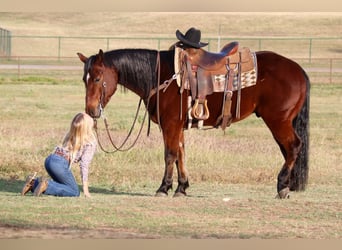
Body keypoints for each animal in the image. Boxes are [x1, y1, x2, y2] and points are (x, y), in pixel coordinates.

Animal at [77, 45, 310, 198]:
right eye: (84, 79)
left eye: (97, 78)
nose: (90, 110)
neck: (161, 76)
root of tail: (298, 70)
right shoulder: (178, 126)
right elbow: (181, 154)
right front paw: (182, 187)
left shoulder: (170, 124)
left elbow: (170, 154)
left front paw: (164, 188)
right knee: (288, 150)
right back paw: (286, 185)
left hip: (278, 121)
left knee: (293, 146)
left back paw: (282, 187)